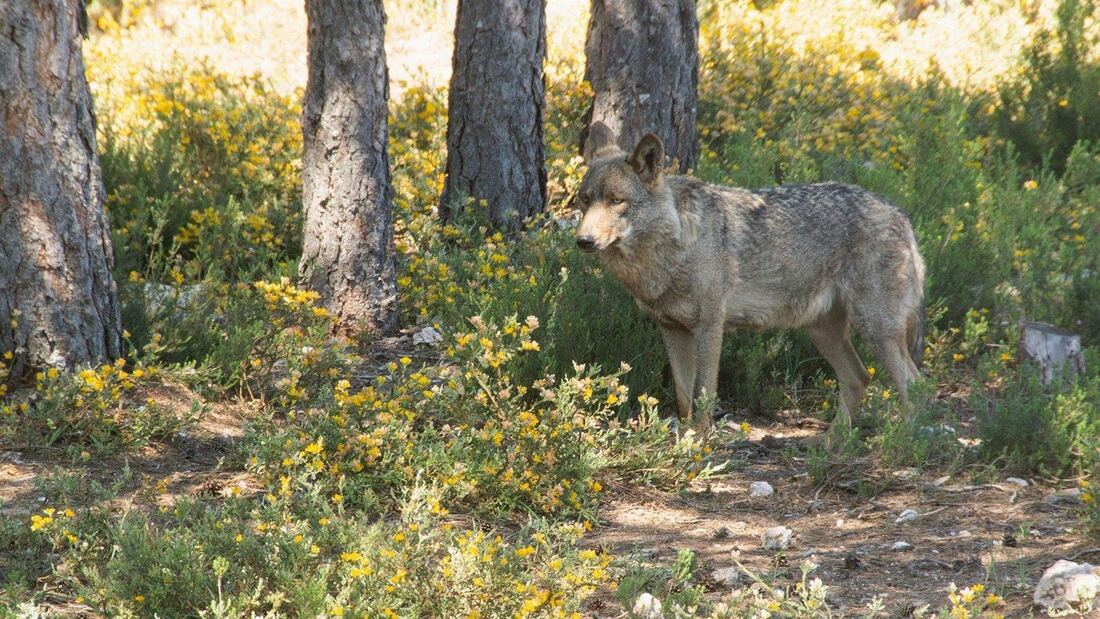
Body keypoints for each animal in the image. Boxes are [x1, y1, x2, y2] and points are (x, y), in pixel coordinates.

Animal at [575, 124, 926, 438]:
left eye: (617, 200)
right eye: (585, 199)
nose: (583, 240)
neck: (671, 247)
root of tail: (901, 214)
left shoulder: (709, 327)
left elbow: (703, 394)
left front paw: (698, 445)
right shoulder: (672, 330)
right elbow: (684, 396)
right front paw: (684, 443)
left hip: (875, 329)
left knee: (914, 385)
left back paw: (901, 445)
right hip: (823, 331)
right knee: (860, 378)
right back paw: (830, 442)